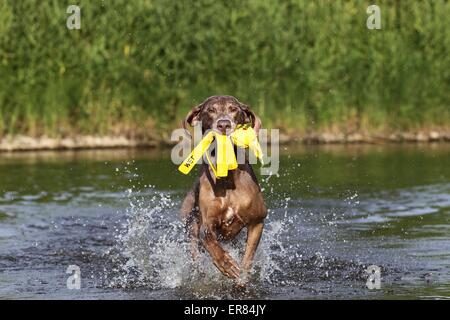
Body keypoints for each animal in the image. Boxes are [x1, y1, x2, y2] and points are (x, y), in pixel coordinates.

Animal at [179, 94, 266, 280]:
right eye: (211, 110)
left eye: (234, 109)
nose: (224, 124)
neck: (227, 178)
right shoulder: (207, 222)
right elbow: (209, 239)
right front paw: (226, 263)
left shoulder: (258, 220)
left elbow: (247, 259)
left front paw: (241, 278)